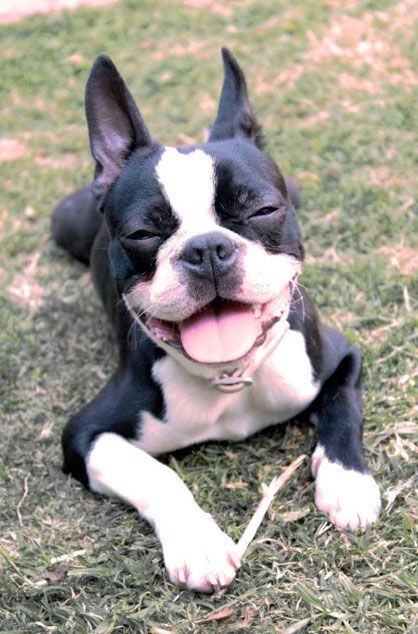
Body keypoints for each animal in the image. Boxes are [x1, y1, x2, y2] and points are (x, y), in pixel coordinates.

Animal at [50, 49, 380, 592]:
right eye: (141, 234)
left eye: (263, 209)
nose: (206, 249)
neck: (229, 375)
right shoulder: (85, 436)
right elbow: (156, 475)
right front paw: (197, 543)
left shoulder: (338, 356)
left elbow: (343, 410)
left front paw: (347, 483)